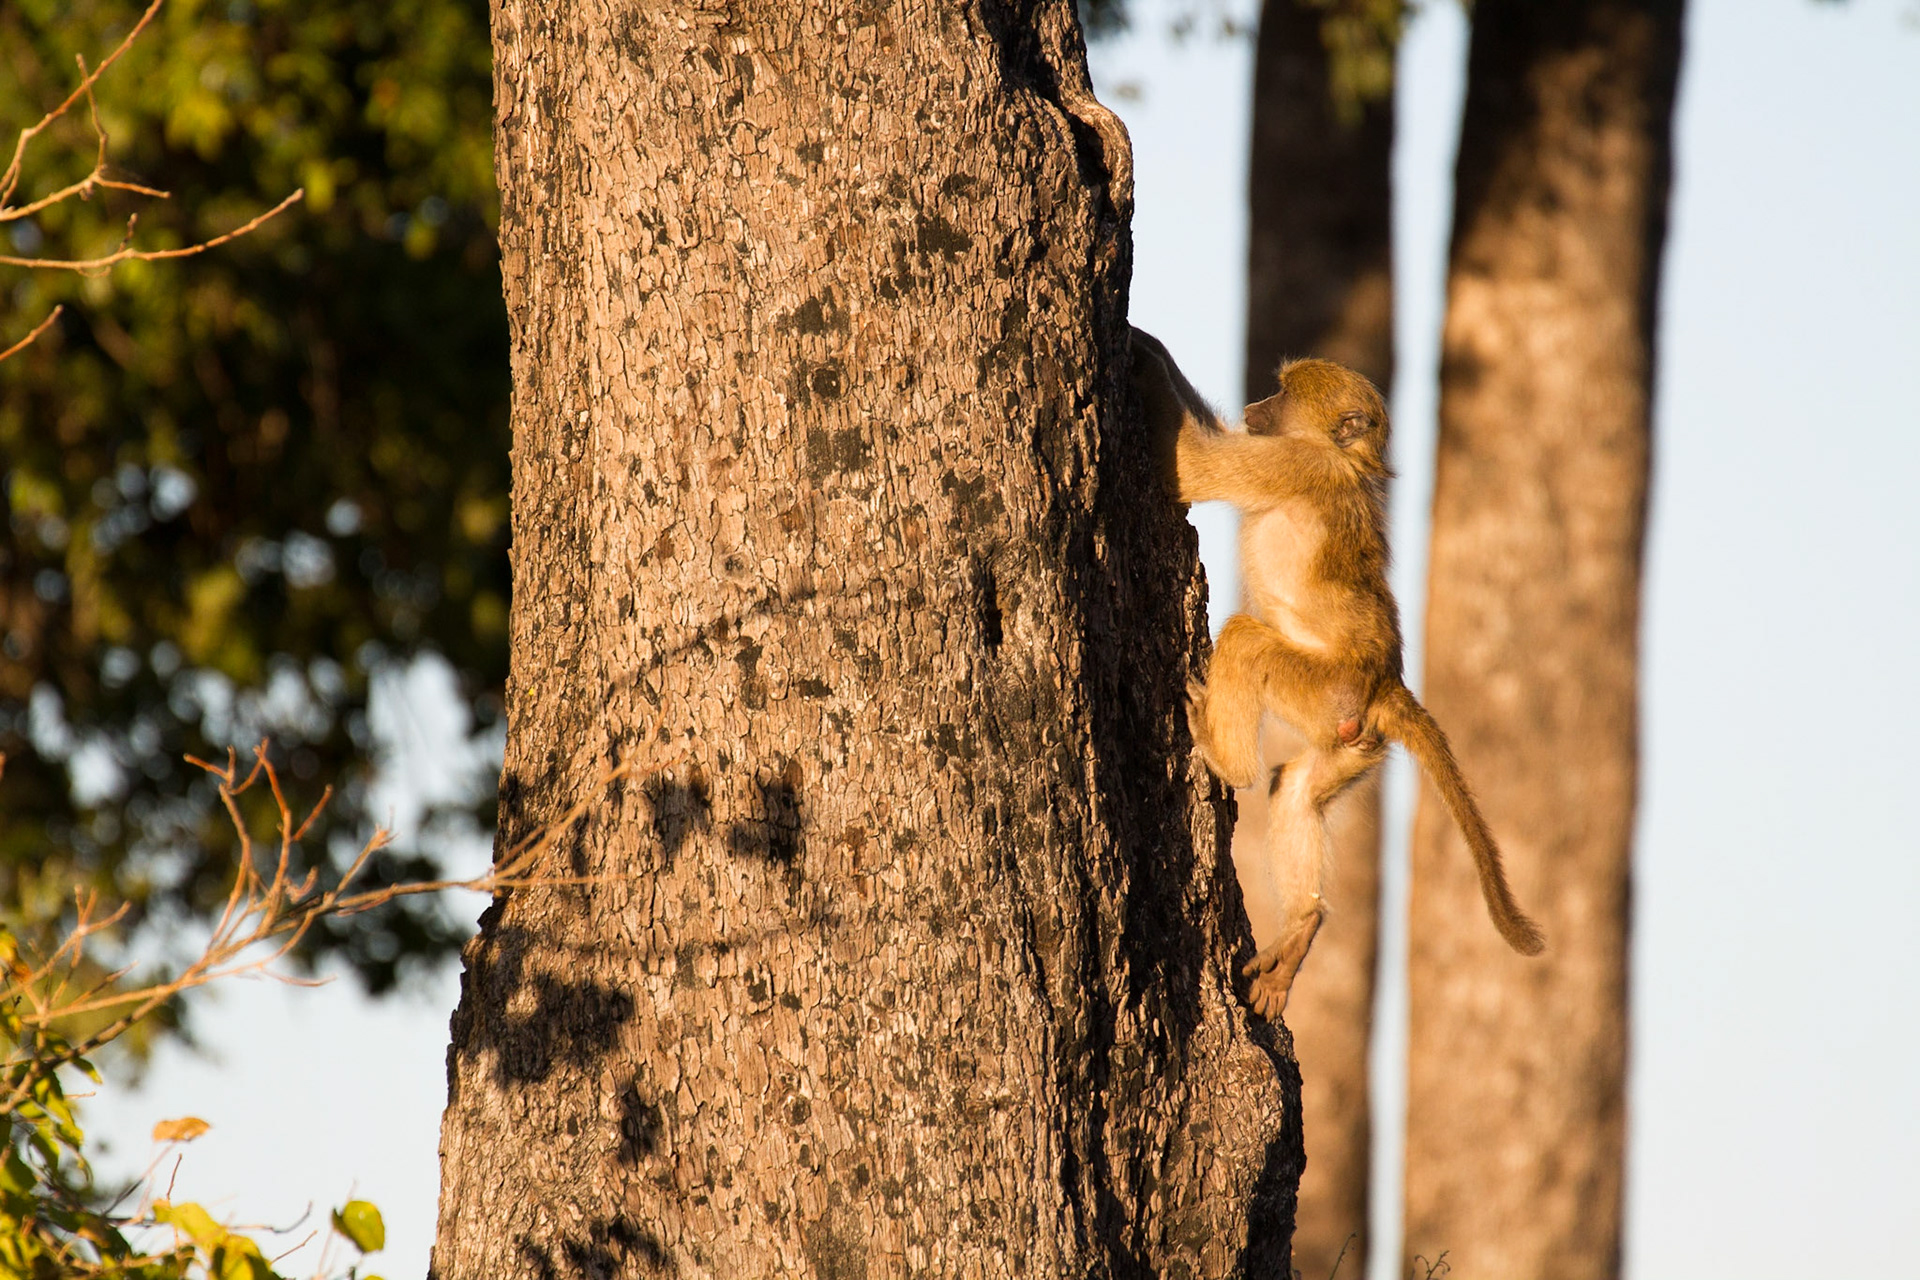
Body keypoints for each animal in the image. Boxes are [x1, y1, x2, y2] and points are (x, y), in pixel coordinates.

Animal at [1130, 327, 1545, 1019]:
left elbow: (1193, 465)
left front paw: (1141, 348)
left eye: (1282, 394)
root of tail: (1387, 686)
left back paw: (1224, 760)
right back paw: (1304, 926)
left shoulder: (1294, 464)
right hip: (1353, 738)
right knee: (1295, 787)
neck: (1341, 457)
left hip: (1321, 691)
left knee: (1246, 647)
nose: (1255, 407)